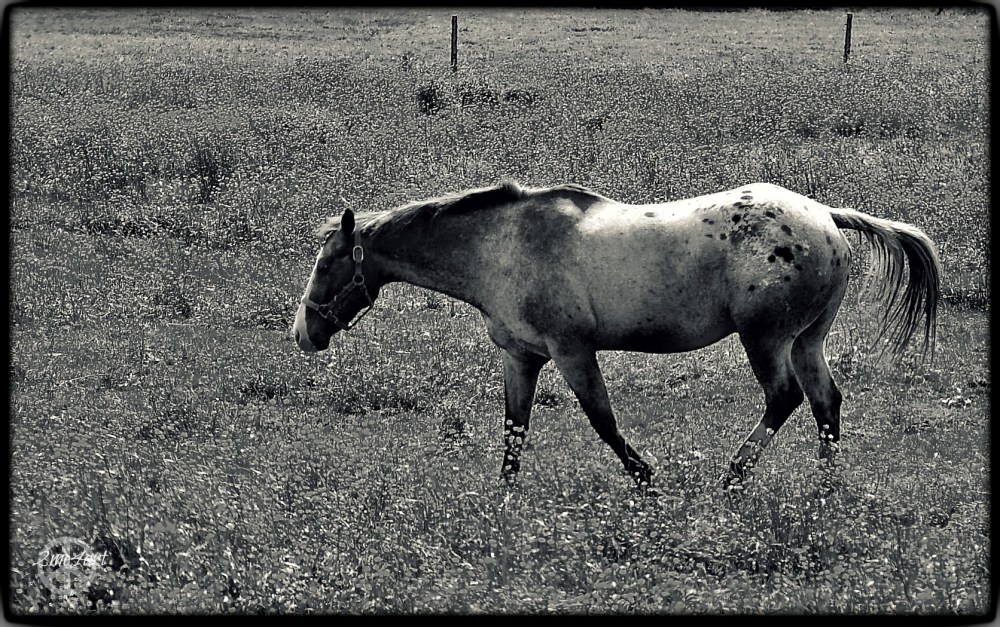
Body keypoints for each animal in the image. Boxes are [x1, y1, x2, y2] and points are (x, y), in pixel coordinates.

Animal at [292, 180, 940, 487]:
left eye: (327, 264)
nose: (303, 332)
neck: (501, 246)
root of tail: (828, 217)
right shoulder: (522, 358)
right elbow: (513, 431)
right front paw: (503, 501)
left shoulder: (572, 351)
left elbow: (602, 421)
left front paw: (647, 480)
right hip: (806, 341)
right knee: (826, 402)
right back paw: (824, 488)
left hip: (765, 340)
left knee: (784, 399)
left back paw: (733, 476)